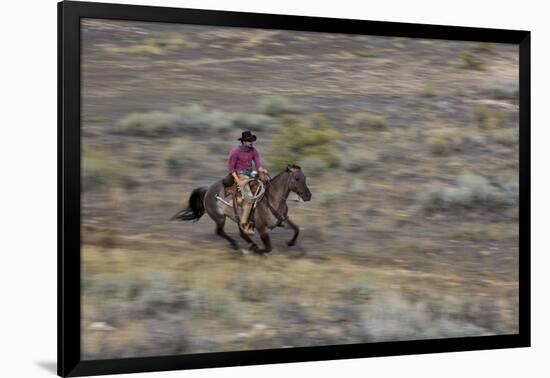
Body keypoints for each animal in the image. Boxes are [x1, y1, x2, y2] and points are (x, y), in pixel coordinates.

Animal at [170, 165, 312, 254]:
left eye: (305, 178)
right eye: (297, 179)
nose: (308, 196)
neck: (272, 199)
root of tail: (208, 190)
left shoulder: (282, 219)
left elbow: (296, 229)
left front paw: (290, 243)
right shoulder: (262, 229)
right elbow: (268, 248)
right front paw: (256, 250)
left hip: (238, 219)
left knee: (240, 233)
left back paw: (248, 245)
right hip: (219, 218)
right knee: (220, 231)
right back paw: (237, 245)